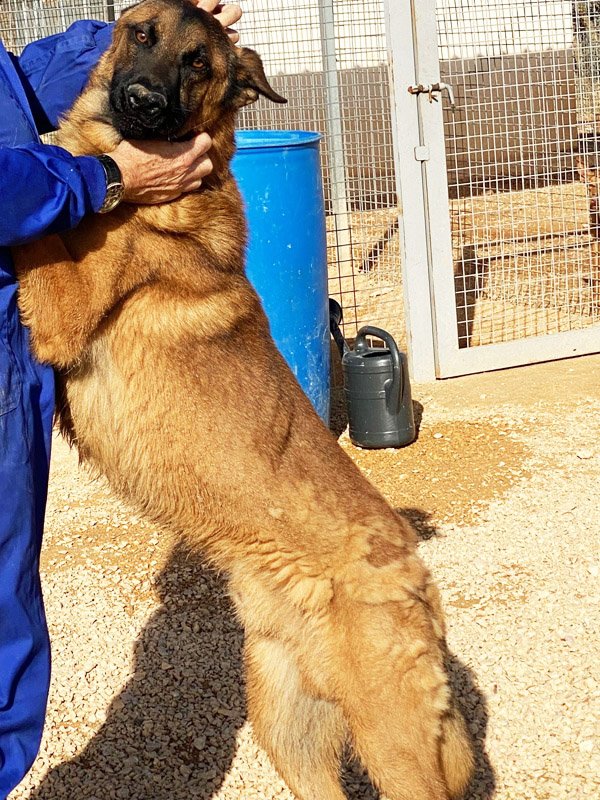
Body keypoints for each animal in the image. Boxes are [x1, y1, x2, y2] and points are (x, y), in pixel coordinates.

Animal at [13, 2, 475, 798]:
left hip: (394, 747)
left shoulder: (58, 308)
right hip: (285, 725)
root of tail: (415, 576)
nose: (143, 102)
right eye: (140, 33)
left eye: (198, 62)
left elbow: (35, 225)